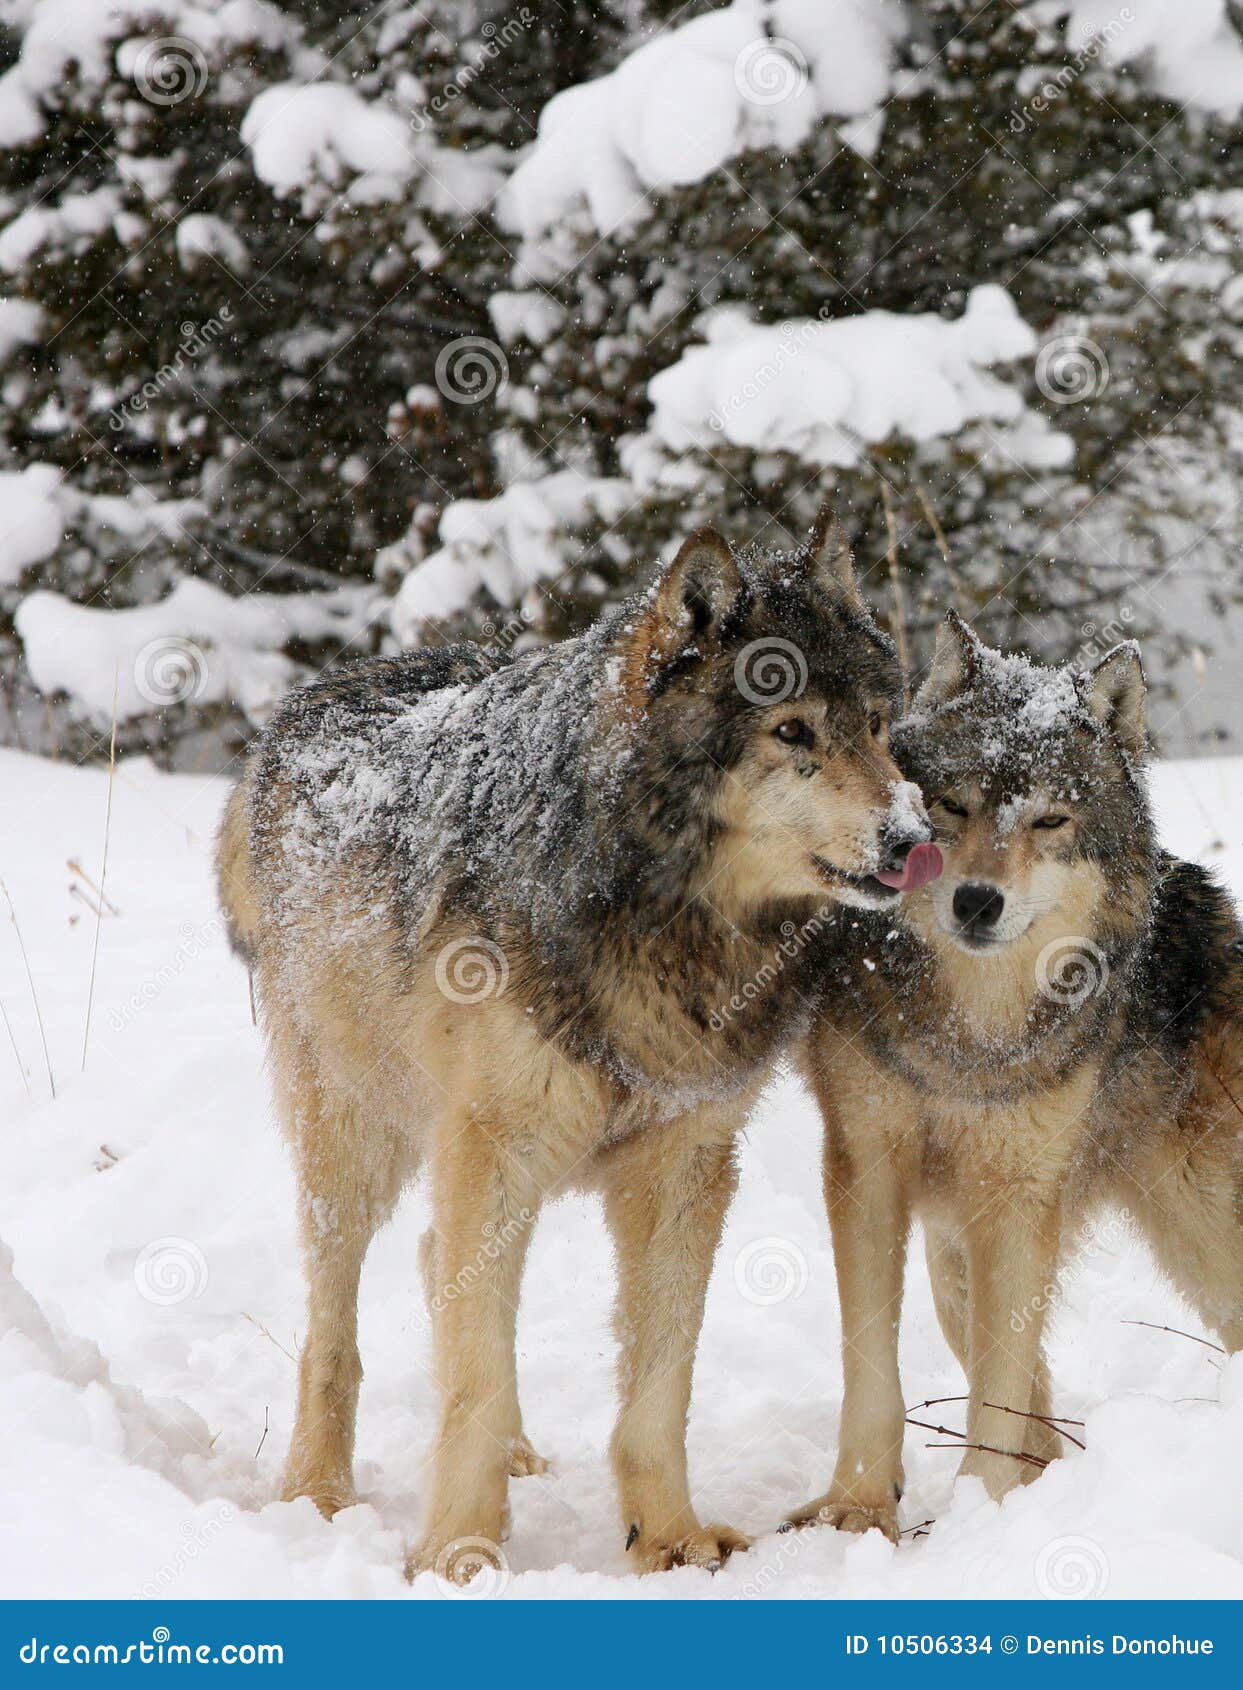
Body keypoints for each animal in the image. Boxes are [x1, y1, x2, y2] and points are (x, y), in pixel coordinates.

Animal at [216, 507, 939, 1575]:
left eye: (881, 729)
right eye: (792, 730)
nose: (910, 839)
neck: (664, 921)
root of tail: (299, 709)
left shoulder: (686, 1163)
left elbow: (658, 1391)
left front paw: (670, 1538)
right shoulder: (494, 1145)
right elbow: (467, 1379)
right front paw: (456, 1557)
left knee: (436, 1262)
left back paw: (518, 1459)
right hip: (358, 1144)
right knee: (335, 1330)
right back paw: (318, 1493)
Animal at [790, 615, 1243, 1541]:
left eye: (1049, 819)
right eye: (952, 805)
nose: (974, 900)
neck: (968, 1039)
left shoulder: (1015, 1194)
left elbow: (999, 1389)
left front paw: (981, 1522)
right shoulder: (866, 1170)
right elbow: (878, 1367)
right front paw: (857, 1506)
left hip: (1206, 1242)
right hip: (954, 1257)